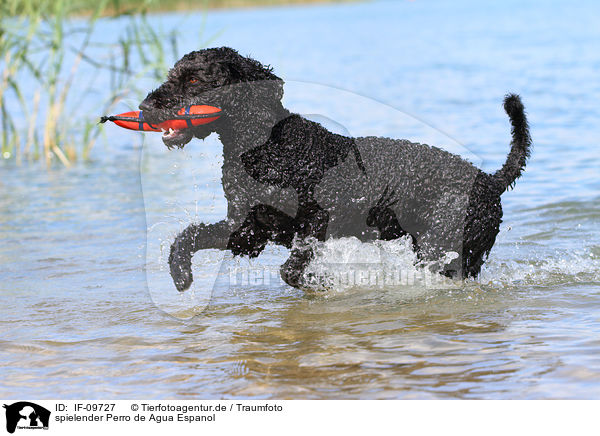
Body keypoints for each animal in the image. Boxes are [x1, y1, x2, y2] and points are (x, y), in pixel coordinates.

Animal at [139, 46, 528, 290]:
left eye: (193, 80)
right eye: (173, 76)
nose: (145, 107)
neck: (266, 148)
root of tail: (491, 181)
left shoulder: (319, 218)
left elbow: (291, 269)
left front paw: (319, 283)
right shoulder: (247, 230)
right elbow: (187, 237)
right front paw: (180, 275)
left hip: (445, 249)